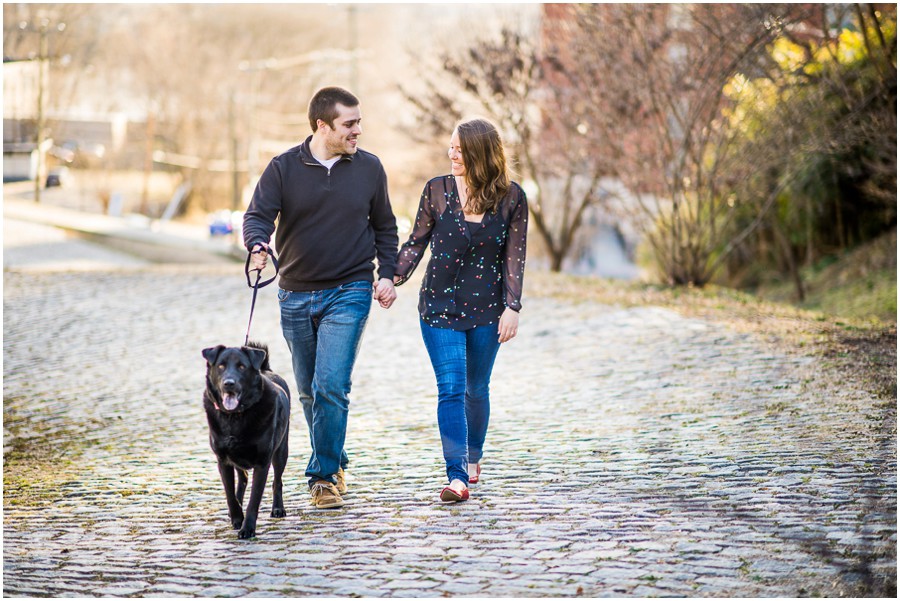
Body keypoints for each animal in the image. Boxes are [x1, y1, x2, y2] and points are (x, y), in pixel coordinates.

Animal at [202, 342, 290, 540]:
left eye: (242, 366)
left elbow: (254, 500)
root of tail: (266, 369)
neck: (235, 416)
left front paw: (247, 528)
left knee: (277, 481)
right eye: (221, 366)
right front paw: (236, 518)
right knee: (242, 479)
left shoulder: (262, 463)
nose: (229, 383)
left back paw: (278, 508)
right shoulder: (223, 460)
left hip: (281, 451)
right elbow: (229, 494)